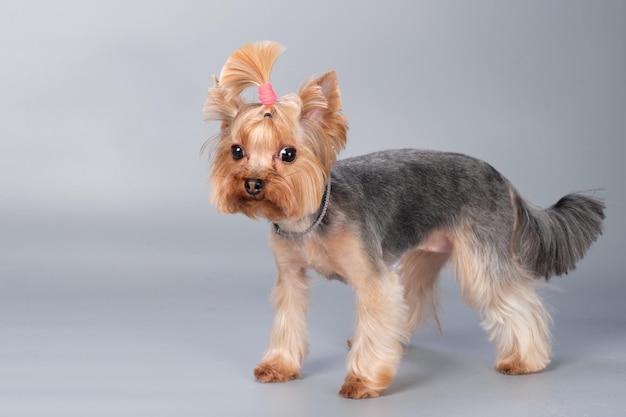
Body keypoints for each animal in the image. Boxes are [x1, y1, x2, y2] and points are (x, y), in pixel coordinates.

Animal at [202, 40, 604, 398]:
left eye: (288, 154)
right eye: (237, 151)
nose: (252, 183)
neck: (310, 220)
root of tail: (503, 179)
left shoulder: (372, 279)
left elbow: (378, 305)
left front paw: (362, 380)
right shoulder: (291, 275)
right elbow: (289, 318)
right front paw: (280, 366)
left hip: (481, 254)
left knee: (515, 300)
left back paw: (525, 360)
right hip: (426, 253)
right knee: (414, 290)